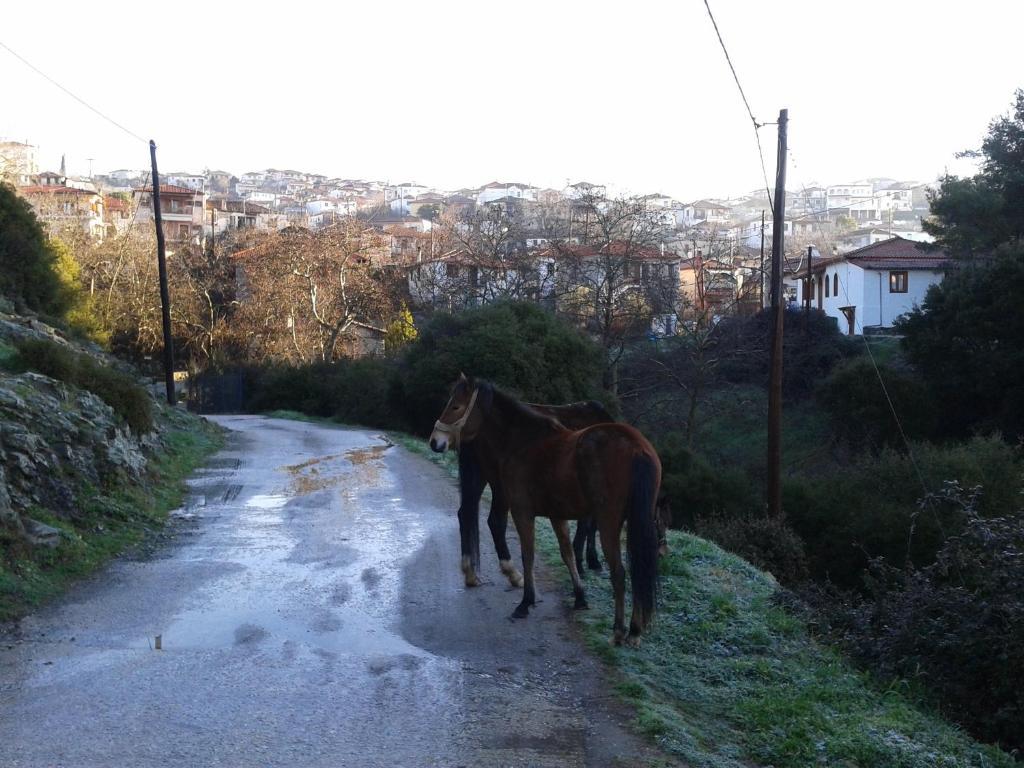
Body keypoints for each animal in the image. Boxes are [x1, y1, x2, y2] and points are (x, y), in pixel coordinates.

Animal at [432, 376, 663, 647]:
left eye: (456, 406)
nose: (435, 441)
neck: (522, 441)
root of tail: (636, 448)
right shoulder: (557, 515)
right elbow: (567, 553)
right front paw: (580, 597)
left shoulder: (523, 513)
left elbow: (529, 555)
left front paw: (526, 602)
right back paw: (634, 630)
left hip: (609, 523)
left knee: (620, 573)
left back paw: (620, 630)